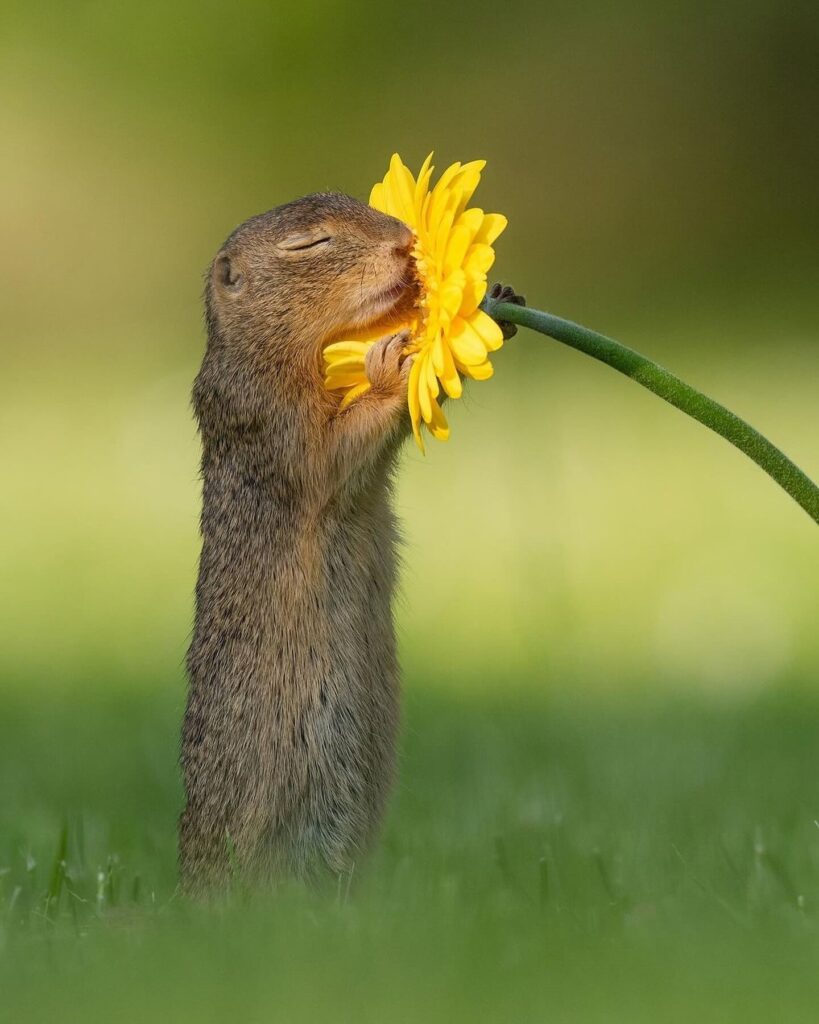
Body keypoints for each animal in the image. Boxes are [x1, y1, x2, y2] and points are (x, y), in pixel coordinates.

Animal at [181, 190, 522, 888]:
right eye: (310, 244)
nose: (404, 244)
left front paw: (496, 300)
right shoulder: (271, 420)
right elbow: (334, 453)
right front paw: (390, 366)